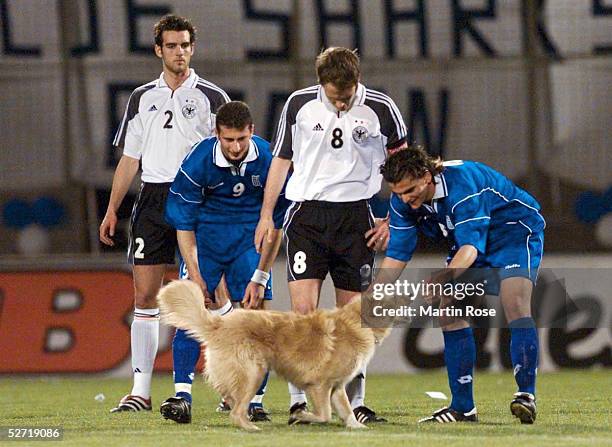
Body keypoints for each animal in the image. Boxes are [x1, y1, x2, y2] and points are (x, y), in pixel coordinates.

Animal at [155, 280, 390, 430]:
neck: (355, 321)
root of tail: (219, 323)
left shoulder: (337, 387)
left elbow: (346, 410)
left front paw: (356, 426)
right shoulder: (319, 385)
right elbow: (324, 415)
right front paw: (299, 416)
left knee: (231, 398)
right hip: (254, 373)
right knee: (236, 411)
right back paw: (250, 427)